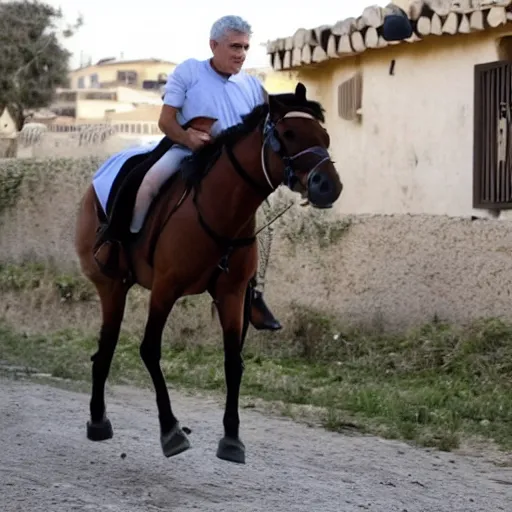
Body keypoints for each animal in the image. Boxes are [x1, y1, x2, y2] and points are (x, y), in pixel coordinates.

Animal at [74, 83, 342, 464]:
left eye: (325, 136)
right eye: (289, 134)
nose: (328, 185)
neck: (220, 210)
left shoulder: (232, 295)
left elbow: (233, 362)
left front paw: (231, 437)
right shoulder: (165, 289)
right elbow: (150, 350)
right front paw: (170, 430)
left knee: (105, 349)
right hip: (110, 286)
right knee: (107, 347)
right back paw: (98, 420)